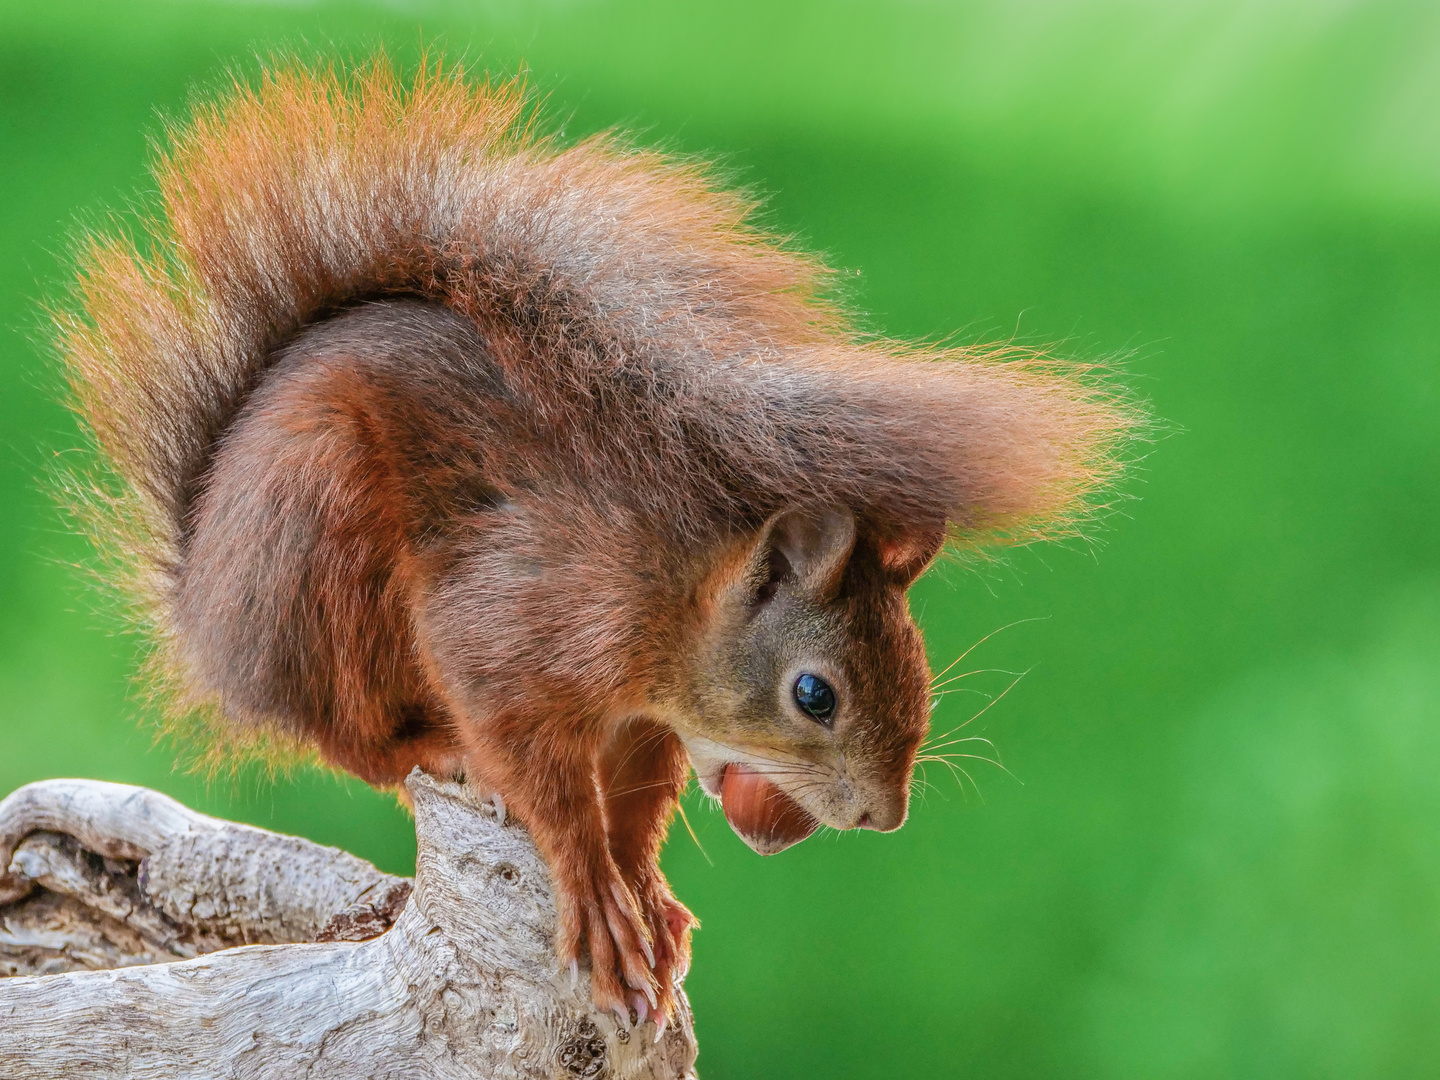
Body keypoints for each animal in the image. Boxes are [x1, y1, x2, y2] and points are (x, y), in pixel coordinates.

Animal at [47, 59, 1134, 1031]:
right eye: (814, 695)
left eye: (919, 671)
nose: (882, 816)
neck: (671, 599)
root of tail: (206, 605)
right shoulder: (513, 630)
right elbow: (549, 787)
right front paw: (596, 899)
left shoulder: (647, 725)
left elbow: (639, 804)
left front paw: (645, 893)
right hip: (321, 547)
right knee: (348, 735)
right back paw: (434, 747)